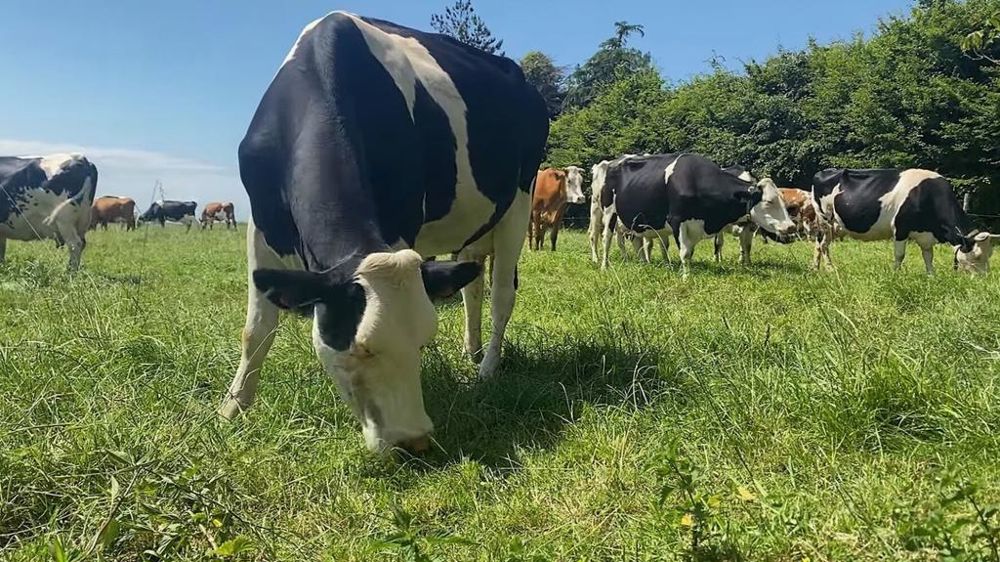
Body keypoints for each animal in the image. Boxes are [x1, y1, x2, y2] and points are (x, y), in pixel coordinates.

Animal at [217, 12, 548, 455]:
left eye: (423, 343)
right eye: (362, 348)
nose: (414, 439)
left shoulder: (401, 224)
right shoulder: (261, 224)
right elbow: (255, 329)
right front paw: (233, 408)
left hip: (519, 201)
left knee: (501, 295)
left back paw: (488, 369)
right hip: (474, 227)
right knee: (471, 287)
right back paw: (472, 351)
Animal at [596, 153, 795, 273]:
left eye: (782, 200)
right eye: (769, 202)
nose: (791, 227)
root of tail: (613, 162)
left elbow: (690, 253)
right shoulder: (677, 221)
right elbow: (684, 253)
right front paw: (686, 277)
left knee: (638, 241)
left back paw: (644, 264)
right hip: (609, 212)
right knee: (606, 238)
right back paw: (604, 265)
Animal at [810, 168, 997, 274]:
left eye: (990, 254)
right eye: (978, 256)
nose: (984, 278)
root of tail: (823, 172)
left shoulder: (925, 236)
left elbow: (928, 257)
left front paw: (931, 276)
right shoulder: (900, 229)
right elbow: (900, 255)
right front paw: (895, 275)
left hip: (834, 226)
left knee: (820, 245)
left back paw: (818, 269)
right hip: (825, 220)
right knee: (822, 245)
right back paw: (827, 269)